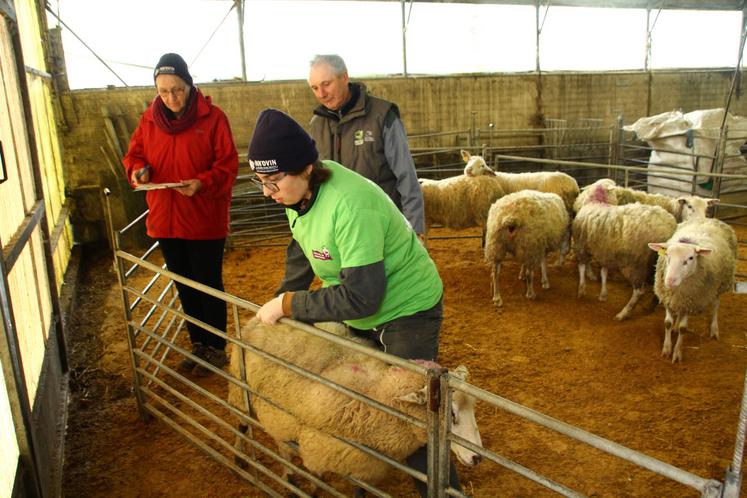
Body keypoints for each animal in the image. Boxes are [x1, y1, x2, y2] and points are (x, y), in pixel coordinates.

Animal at [228, 318, 486, 492]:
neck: (377, 394)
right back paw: (243, 458)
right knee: (244, 423)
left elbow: (358, 490)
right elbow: (319, 480)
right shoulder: (319, 448)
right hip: (244, 392)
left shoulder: (363, 462)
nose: (477, 458)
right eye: (451, 413)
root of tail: (256, 320)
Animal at [568, 182, 680, 320]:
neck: (596, 202)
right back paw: (650, 306)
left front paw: (581, 289)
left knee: (639, 292)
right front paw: (603, 294)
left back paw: (623, 313)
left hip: (636, 265)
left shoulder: (581, 246)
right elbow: (603, 272)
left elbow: (582, 268)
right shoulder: (605, 251)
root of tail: (668, 227)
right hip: (659, 264)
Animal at [644, 218, 740, 362]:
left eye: (690, 258)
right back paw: (676, 326)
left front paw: (677, 353)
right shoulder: (669, 298)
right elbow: (667, 323)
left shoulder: (692, 300)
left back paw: (714, 330)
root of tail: (710, 219)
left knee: (715, 306)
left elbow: (684, 329)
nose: (670, 281)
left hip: (719, 286)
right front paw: (666, 348)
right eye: (666, 254)